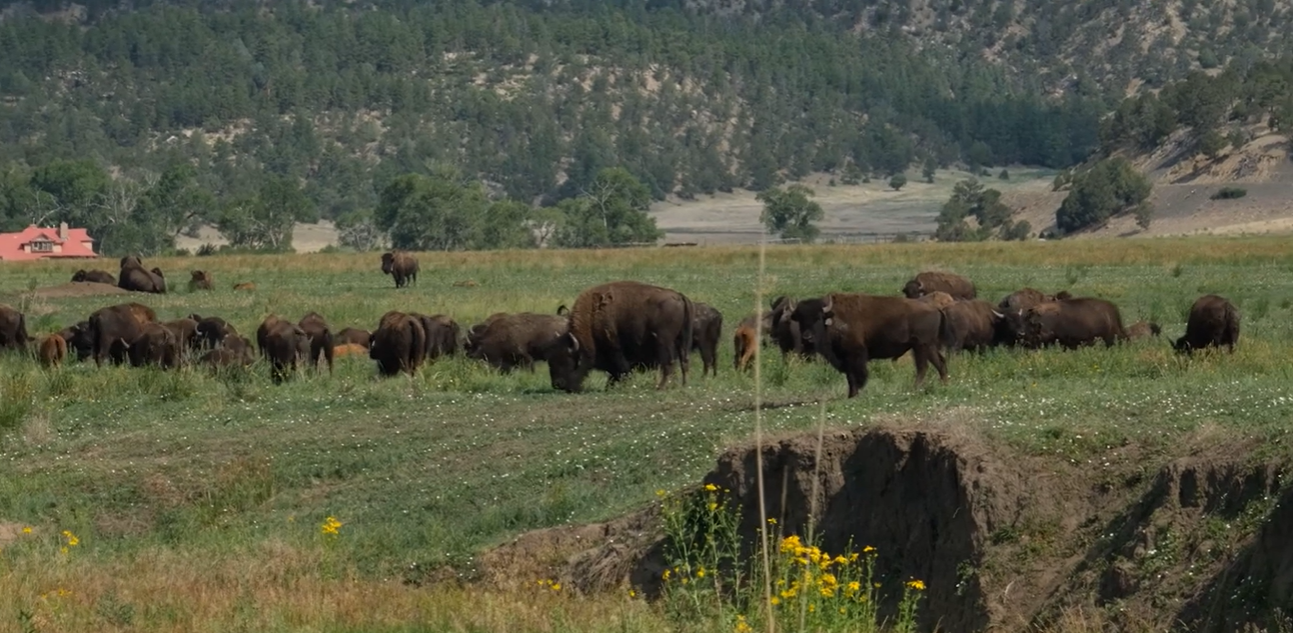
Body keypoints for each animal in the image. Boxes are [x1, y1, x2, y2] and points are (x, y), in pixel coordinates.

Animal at [544, 280, 693, 392]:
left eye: (565, 359)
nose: (558, 384)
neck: (592, 318)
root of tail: (679, 296)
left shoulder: (614, 348)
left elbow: (620, 368)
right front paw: (609, 387)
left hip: (664, 342)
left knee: (668, 364)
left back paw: (661, 387)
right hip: (682, 341)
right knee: (683, 362)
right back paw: (682, 385)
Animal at [790, 293, 948, 398]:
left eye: (817, 318)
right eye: (801, 319)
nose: (807, 338)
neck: (832, 320)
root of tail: (934, 308)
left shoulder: (855, 354)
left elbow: (856, 374)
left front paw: (855, 394)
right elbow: (849, 376)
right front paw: (851, 394)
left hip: (920, 346)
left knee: (923, 367)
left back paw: (914, 389)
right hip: (928, 346)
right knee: (939, 363)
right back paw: (943, 384)